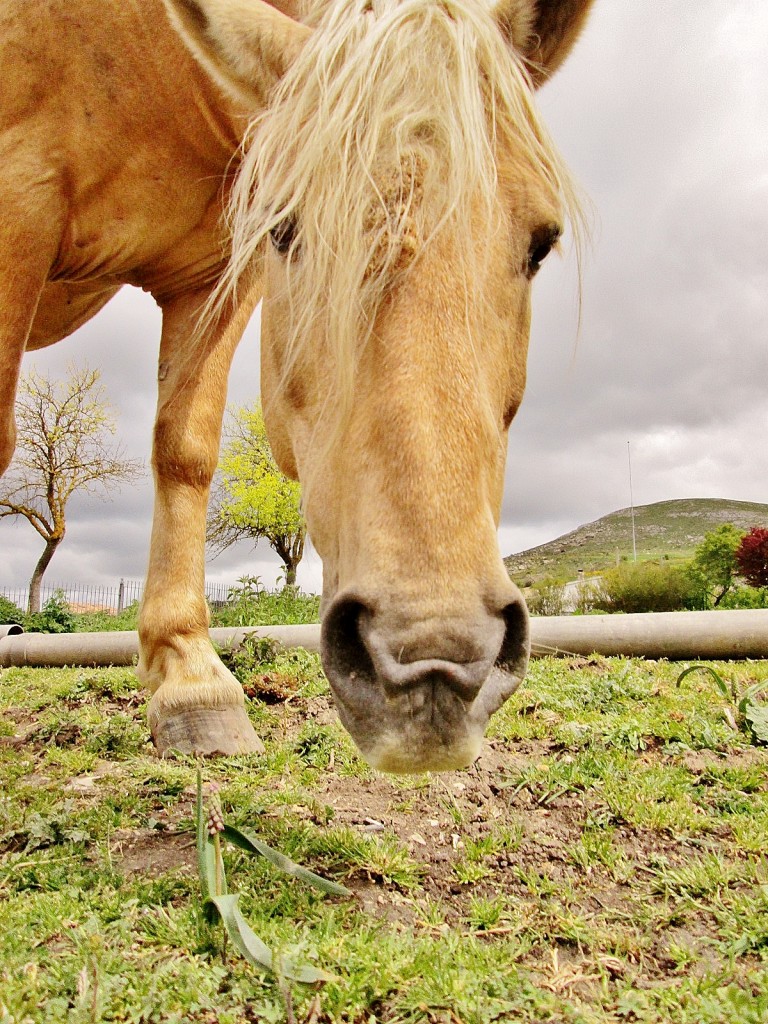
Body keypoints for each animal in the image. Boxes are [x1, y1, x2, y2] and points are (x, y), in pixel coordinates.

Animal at [0, 0, 592, 772]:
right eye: (287, 231)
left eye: (541, 242)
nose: (434, 667)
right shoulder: (19, 201)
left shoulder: (216, 276)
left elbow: (185, 450)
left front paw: (191, 685)